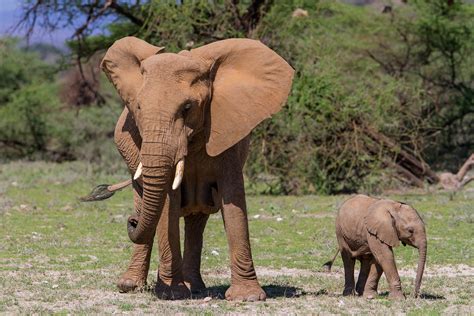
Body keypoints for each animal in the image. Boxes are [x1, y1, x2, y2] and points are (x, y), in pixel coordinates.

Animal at [85, 37, 292, 302]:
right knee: (149, 204)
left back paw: (196, 288)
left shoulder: (228, 134)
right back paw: (130, 286)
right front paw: (172, 293)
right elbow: (167, 205)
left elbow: (233, 200)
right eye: (138, 108)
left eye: (187, 108)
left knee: (196, 218)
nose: (131, 221)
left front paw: (247, 297)